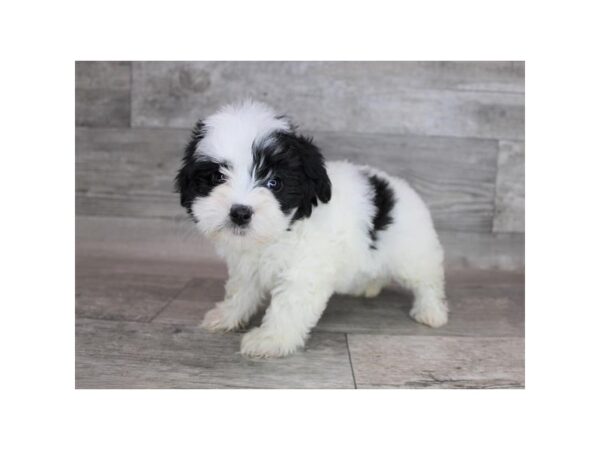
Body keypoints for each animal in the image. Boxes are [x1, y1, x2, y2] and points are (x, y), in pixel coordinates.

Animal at [173, 100, 446, 356]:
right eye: (217, 177)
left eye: (274, 183)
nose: (240, 212)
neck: (281, 232)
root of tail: (402, 187)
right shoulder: (246, 267)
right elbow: (239, 292)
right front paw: (227, 316)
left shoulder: (303, 271)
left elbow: (287, 307)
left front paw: (270, 339)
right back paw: (369, 287)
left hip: (412, 252)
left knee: (427, 281)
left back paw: (432, 312)